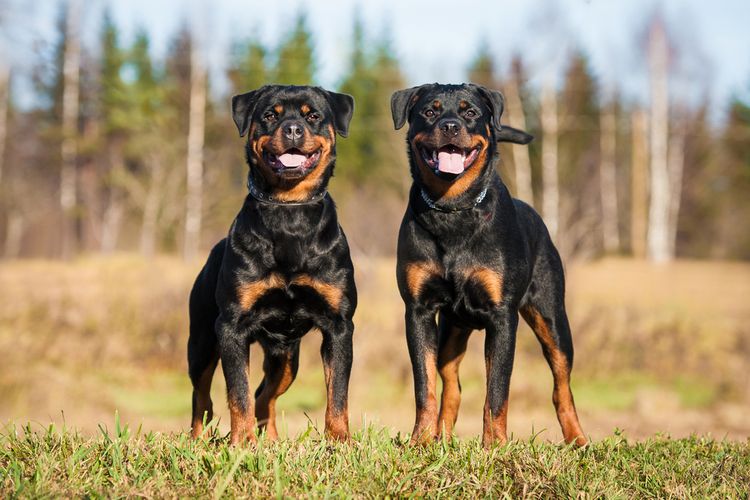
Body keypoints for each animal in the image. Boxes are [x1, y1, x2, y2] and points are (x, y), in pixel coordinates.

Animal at [191, 86, 358, 446]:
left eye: (313, 116)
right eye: (270, 115)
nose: (293, 129)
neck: (289, 212)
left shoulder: (338, 325)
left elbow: (337, 392)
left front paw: (339, 439)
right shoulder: (231, 327)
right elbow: (236, 392)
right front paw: (241, 442)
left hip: (286, 357)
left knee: (264, 395)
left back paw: (271, 441)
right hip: (201, 341)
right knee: (202, 396)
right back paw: (198, 440)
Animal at [390, 83, 592, 450]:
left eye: (470, 112)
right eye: (429, 111)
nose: (450, 126)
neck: (452, 210)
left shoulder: (502, 315)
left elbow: (497, 390)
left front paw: (495, 445)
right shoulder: (419, 309)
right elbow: (425, 385)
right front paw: (421, 440)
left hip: (552, 317)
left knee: (562, 385)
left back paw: (578, 439)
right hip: (452, 328)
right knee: (451, 384)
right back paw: (442, 437)